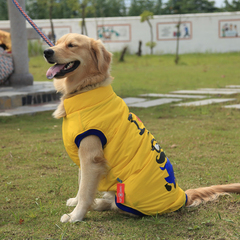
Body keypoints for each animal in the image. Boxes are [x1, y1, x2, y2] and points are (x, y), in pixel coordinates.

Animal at [43, 33, 240, 223]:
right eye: (56, 43)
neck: (86, 89)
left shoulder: (91, 156)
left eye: (71, 45)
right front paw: (75, 202)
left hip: (129, 192)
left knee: (118, 206)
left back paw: (98, 203)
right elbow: (81, 181)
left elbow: (85, 190)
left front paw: (76, 216)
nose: (47, 51)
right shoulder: (82, 150)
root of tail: (182, 195)